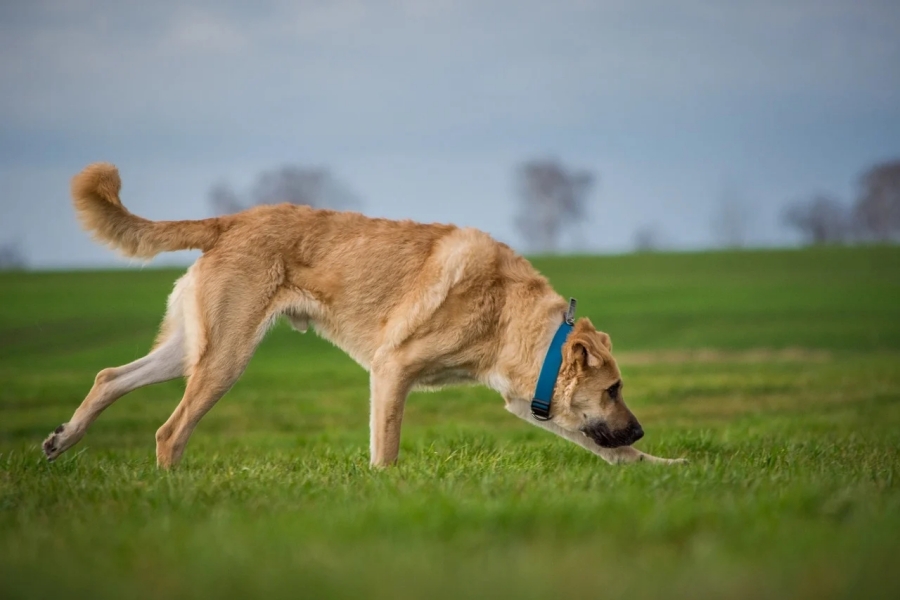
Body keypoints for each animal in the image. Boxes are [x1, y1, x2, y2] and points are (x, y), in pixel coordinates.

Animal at [42, 163, 684, 468]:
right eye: (615, 388)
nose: (641, 426)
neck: (510, 315)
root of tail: (232, 220)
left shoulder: (532, 404)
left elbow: (615, 453)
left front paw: (670, 465)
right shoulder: (391, 371)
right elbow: (387, 452)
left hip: (191, 351)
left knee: (109, 377)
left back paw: (62, 440)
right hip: (224, 359)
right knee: (169, 432)